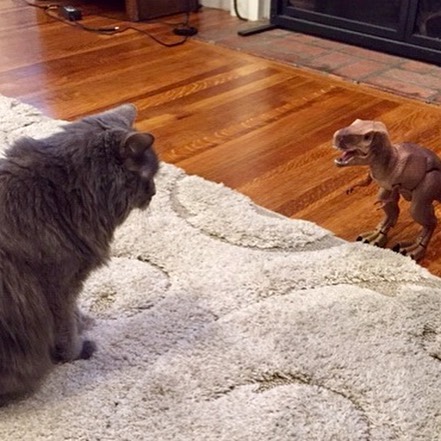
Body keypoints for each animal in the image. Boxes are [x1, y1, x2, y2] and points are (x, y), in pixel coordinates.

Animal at [0, 102, 158, 402]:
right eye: (149, 175)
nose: (154, 192)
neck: (64, 191)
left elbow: (73, 315)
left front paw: (83, 321)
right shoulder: (58, 284)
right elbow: (66, 329)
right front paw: (78, 351)